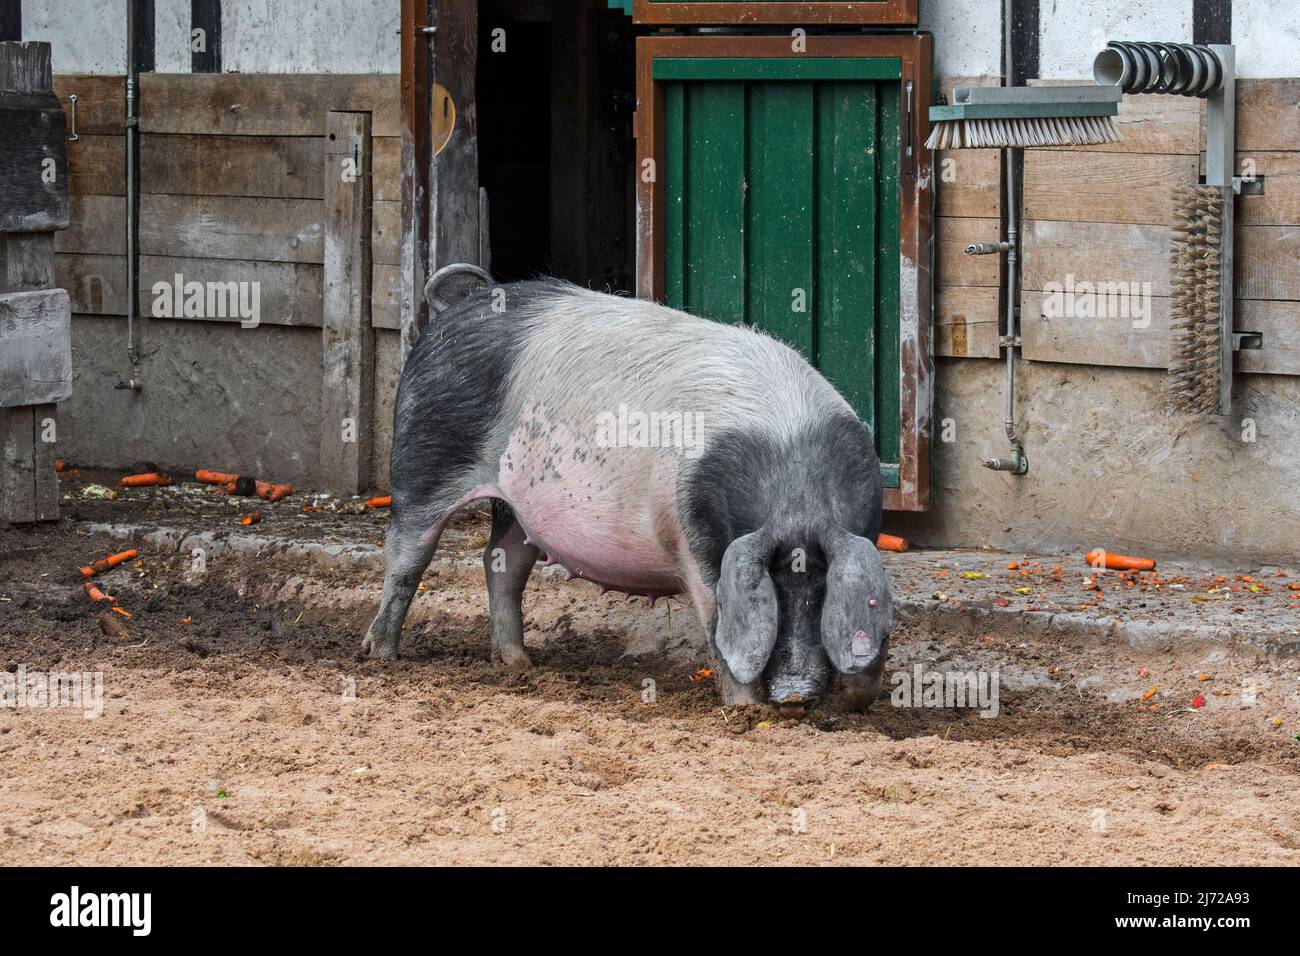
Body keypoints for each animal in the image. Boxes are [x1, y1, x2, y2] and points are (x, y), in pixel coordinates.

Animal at [366, 264, 894, 717]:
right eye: (773, 590)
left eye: (822, 592)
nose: (794, 696)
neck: (794, 488)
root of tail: (464, 301)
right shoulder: (694, 542)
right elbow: (717, 623)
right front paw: (747, 711)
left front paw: (857, 701)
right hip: (422, 458)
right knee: (407, 559)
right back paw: (380, 655)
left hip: (519, 505)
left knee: (502, 566)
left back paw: (518, 664)